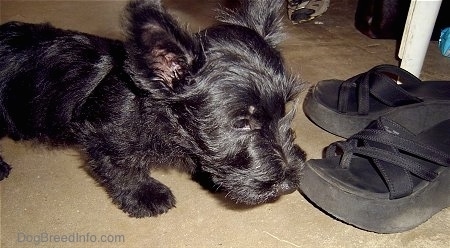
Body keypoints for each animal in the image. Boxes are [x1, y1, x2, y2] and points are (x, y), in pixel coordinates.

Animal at [0, 0, 306, 217]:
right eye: (241, 122)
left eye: (285, 109)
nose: (291, 185)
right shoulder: (103, 138)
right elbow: (122, 169)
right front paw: (145, 196)